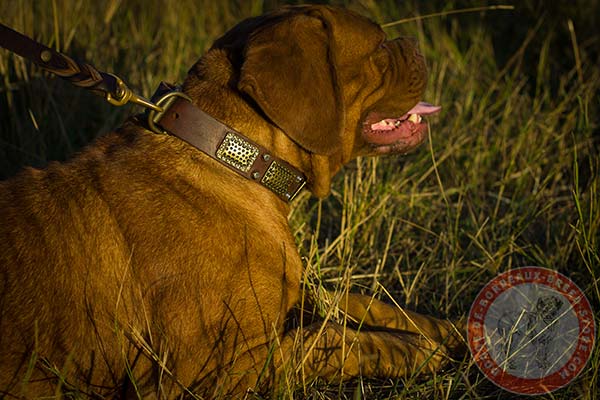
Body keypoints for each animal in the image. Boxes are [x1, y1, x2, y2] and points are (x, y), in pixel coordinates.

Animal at [0, 4, 462, 398]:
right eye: (380, 47)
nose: (415, 43)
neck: (234, 154)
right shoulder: (216, 369)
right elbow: (331, 340)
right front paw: (413, 349)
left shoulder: (294, 296)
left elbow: (365, 302)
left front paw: (449, 329)